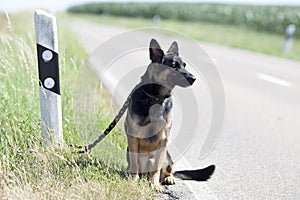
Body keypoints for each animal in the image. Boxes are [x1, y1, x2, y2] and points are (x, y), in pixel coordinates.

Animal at [124, 38, 216, 191]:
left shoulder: (164, 140)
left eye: (184, 65)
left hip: (167, 157)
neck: (156, 98)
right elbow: (135, 164)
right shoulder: (133, 136)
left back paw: (168, 178)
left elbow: (156, 168)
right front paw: (133, 180)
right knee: (135, 165)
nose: (194, 78)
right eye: (174, 66)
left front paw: (155, 184)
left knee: (167, 170)